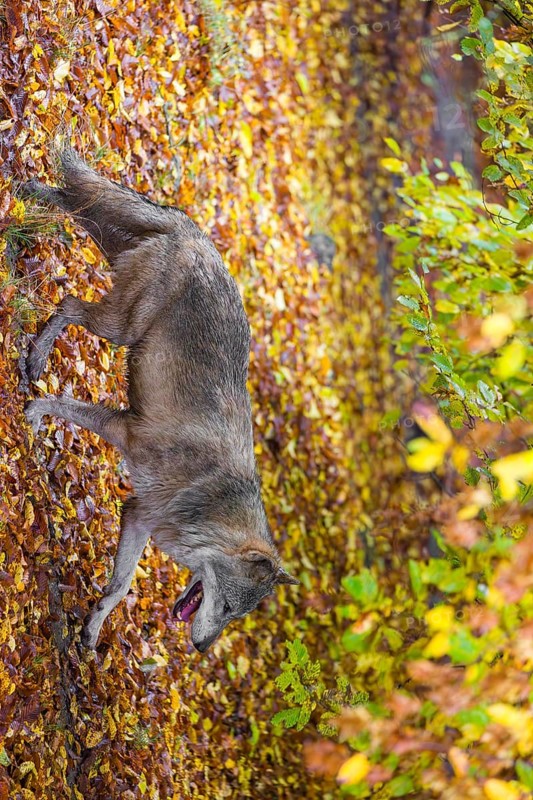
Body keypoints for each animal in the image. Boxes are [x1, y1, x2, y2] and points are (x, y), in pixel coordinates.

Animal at [22, 149, 298, 653]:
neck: (205, 501)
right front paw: (33, 412)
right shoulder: (126, 441)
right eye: (227, 609)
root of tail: (197, 234)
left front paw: (92, 632)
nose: (202, 649)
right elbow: (63, 405)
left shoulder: (139, 519)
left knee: (70, 202)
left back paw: (27, 192)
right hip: (118, 328)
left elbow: (118, 589)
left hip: (106, 248)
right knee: (68, 303)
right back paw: (35, 358)